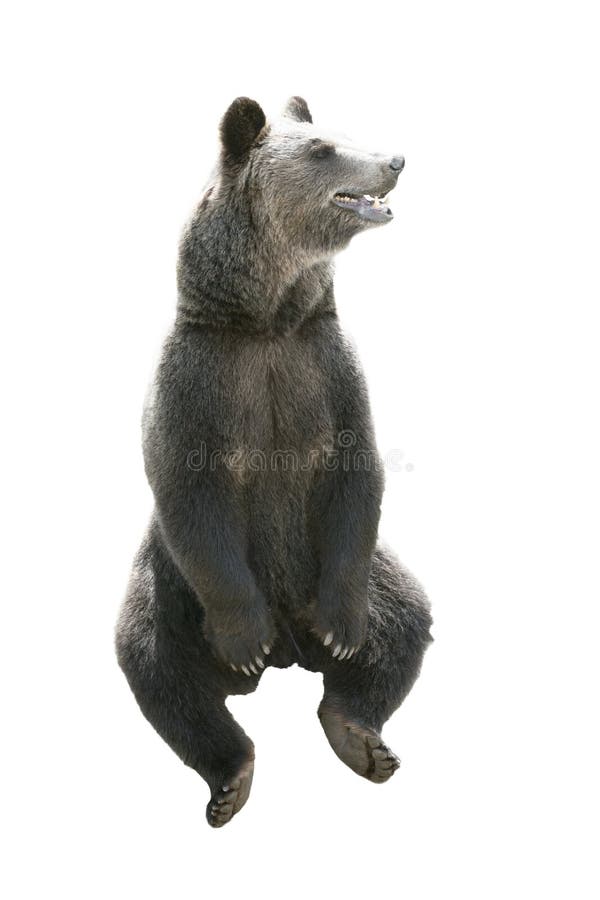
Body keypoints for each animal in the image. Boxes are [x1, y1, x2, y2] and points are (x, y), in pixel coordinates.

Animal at [116, 96, 433, 828]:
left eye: (338, 132)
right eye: (323, 148)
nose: (396, 159)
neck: (267, 318)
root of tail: (291, 654)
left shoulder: (325, 368)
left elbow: (356, 471)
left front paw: (345, 632)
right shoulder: (201, 380)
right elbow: (190, 489)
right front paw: (243, 637)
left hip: (359, 572)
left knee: (405, 619)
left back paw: (361, 736)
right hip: (171, 589)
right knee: (155, 662)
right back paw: (231, 774)